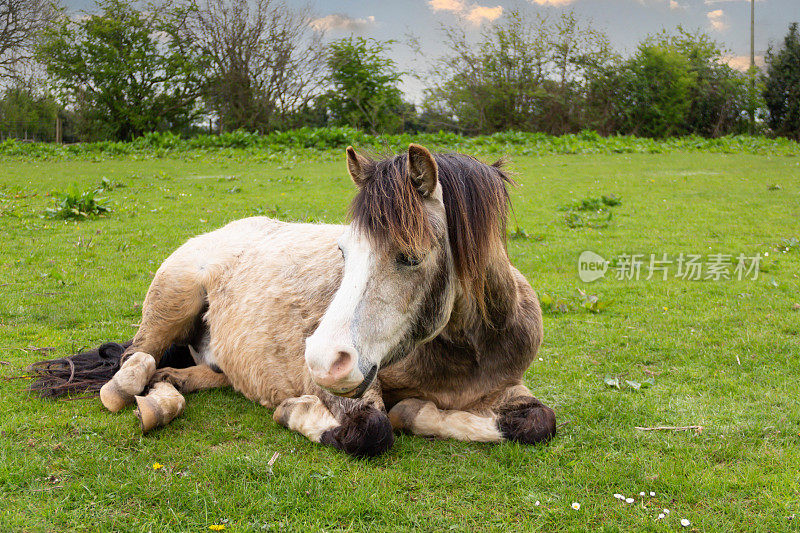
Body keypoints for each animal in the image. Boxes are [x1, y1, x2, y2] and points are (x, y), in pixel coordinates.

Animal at [31, 143, 556, 456]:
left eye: (409, 258)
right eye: (343, 251)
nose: (323, 359)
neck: (464, 352)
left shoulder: (509, 388)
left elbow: (539, 422)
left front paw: (418, 412)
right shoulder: (348, 387)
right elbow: (373, 429)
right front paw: (296, 412)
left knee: (188, 373)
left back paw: (167, 390)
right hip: (171, 305)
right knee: (131, 363)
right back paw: (136, 393)